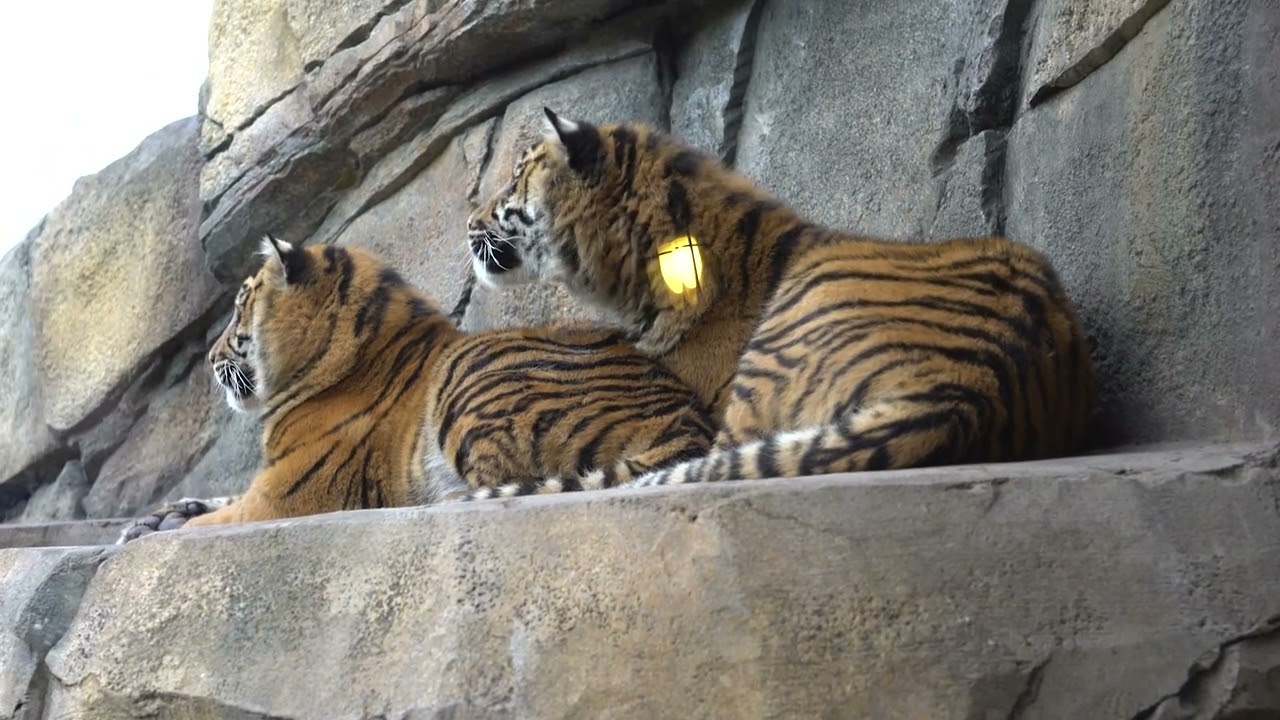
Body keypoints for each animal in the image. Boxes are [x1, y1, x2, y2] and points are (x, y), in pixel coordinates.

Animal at [119, 236, 713, 541]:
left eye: (242, 304)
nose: (209, 358)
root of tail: (688, 419)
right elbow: (216, 499)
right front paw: (159, 514)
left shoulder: (283, 494)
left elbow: (218, 516)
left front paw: (154, 530)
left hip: (471, 383)